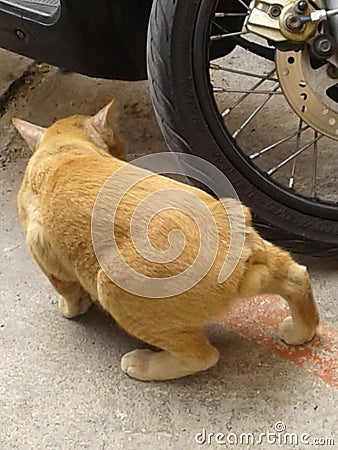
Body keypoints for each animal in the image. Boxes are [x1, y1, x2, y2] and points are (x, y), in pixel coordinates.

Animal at [13, 101, 320, 380]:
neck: (64, 148)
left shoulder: (45, 256)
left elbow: (69, 294)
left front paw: (69, 309)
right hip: (269, 260)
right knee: (298, 277)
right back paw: (298, 331)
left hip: (111, 287)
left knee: (202, 355)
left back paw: (143, 364)